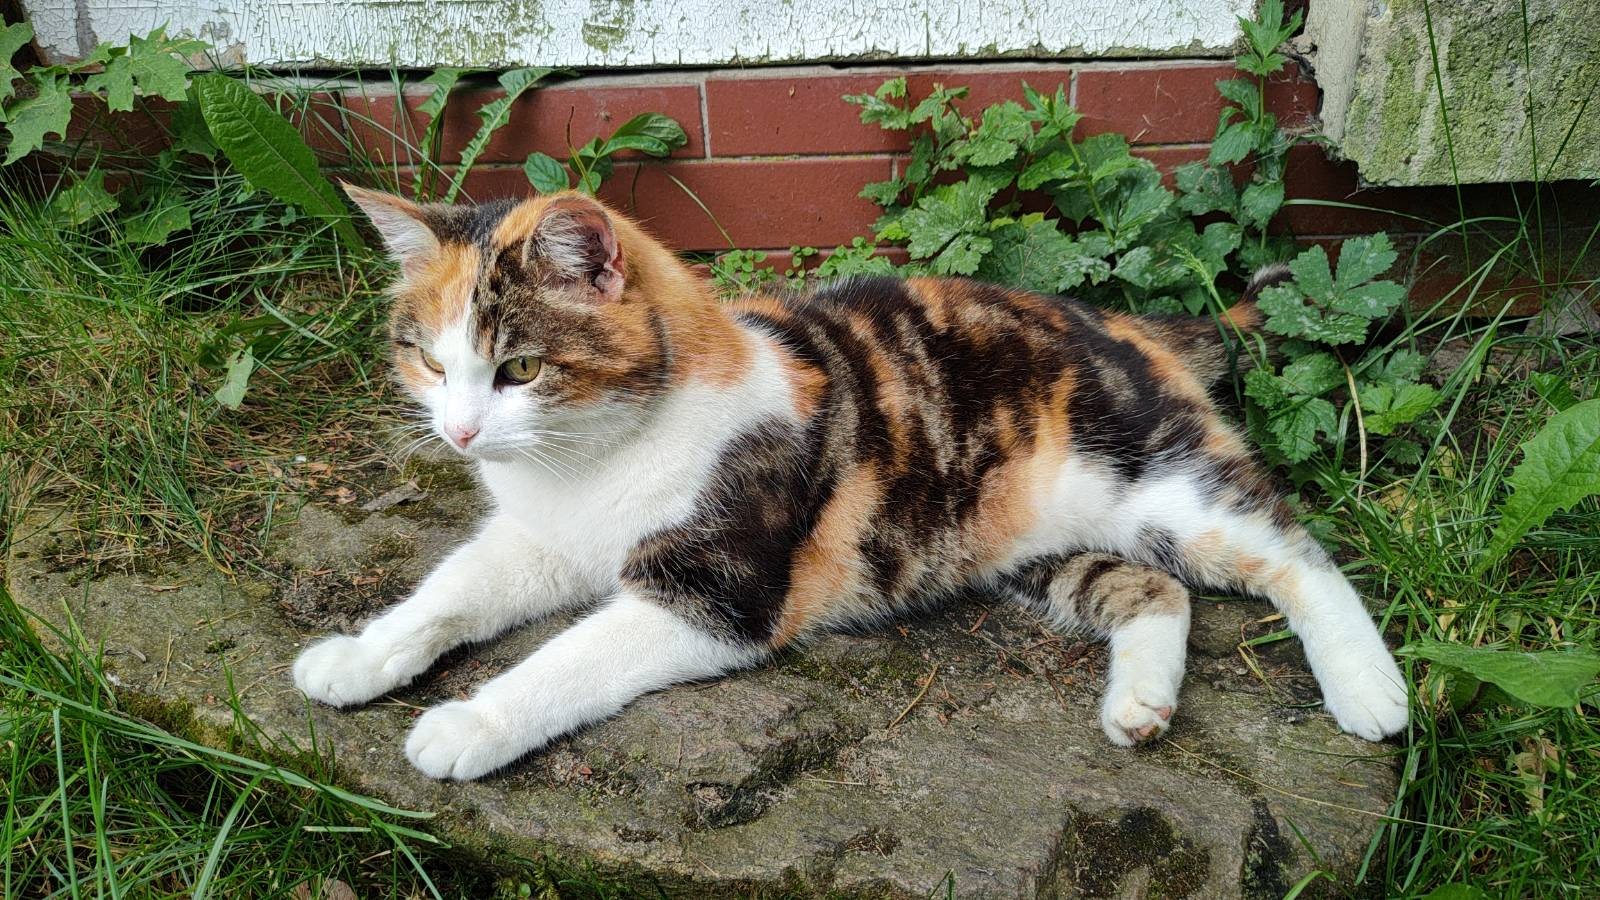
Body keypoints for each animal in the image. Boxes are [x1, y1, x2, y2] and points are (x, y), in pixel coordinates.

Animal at [294, 185, 1408, 775]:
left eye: (521, 367)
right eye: (428, 359)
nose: (460, 431)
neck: (585, 468)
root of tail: (1127, 323)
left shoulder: (718, 592)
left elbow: (564, 661)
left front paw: (467, 726)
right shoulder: (537, 539)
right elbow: (450, 591)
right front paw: (357, 657)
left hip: (1162, 480)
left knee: (1294, 551)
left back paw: (1371, 692)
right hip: (998, 541)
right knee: (1154, 588)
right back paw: (1139, 705)